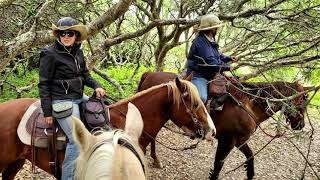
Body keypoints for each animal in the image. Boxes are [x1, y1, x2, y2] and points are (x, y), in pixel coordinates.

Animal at [137, 71, 308, 180]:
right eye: (302, 101)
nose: (300, 125)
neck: (248, 105)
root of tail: (150, 74)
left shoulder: (240, 141)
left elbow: (250, 156)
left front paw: (250, 174)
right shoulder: (227, 141)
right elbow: (218, 165)